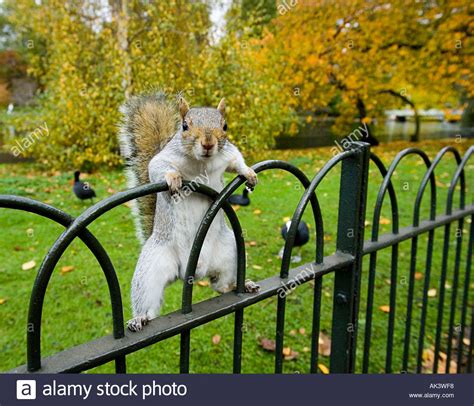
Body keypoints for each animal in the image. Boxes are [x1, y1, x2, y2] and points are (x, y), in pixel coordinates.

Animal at [117, 91, 260, 330]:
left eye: (225, 126)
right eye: (184, 126)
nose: (208, 143)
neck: (201, 162)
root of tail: (190, 272)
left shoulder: (227, 154)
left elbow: (236, 160)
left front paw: (249, 173)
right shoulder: (164, 159)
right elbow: (158, 167)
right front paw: (173, 178)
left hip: (229, 252)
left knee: (220, 286)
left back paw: (241, 285)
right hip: (152, 268)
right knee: (148, 302)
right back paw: (140, 318)